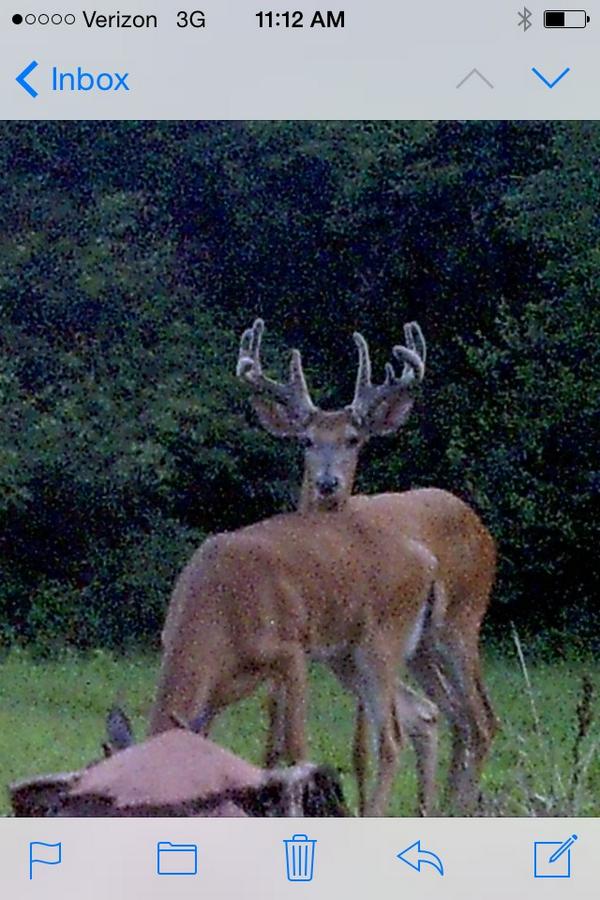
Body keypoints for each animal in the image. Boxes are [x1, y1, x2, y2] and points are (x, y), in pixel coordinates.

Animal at [237, 318, 498, 815]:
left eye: (353, 440)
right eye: (307, 440)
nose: (327, 483)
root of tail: (480, 527)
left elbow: (361, 747)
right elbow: (273, 733)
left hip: (460, 623)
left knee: (479, 719)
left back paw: (457, 804)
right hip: (421, 648)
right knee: (454, 716)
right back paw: (440, 805)